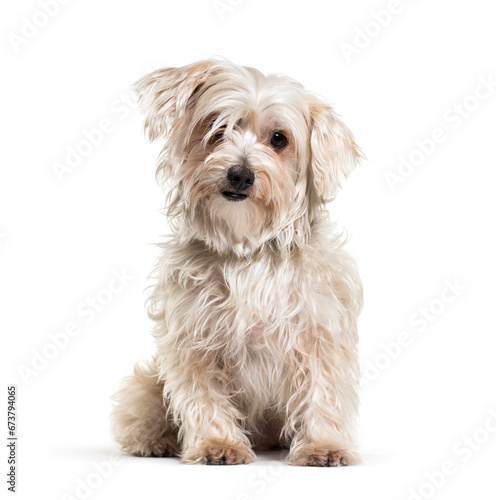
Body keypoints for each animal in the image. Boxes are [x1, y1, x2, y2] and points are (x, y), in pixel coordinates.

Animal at [110, 59, 362, 468]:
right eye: (217, 126)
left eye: (279, 139)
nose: (240, 174)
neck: (248, 249)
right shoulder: (194, 340)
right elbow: (204, 396)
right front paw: (218, 444)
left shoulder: (319, 333)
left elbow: (320, 391)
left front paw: (323, 446)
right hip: (146, 384)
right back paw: (158, 440)